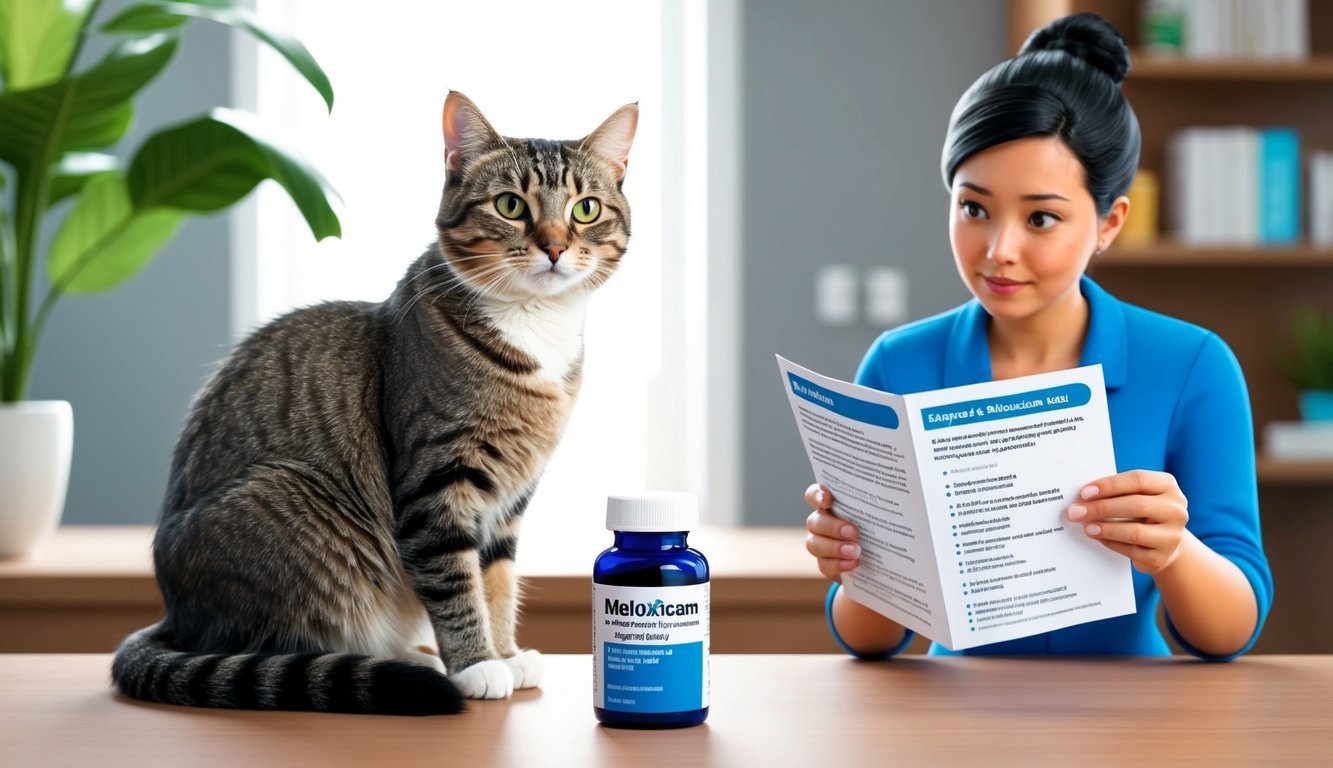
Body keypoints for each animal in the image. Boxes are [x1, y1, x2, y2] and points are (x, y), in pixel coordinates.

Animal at [109, 93, 639, 714]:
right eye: (510, 205)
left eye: (585, 209)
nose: (555, 246)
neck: (534, 327)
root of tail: (176, 617)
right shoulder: (438, 481)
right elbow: (456, 582)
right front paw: (478, 664)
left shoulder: (510, 496)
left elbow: (497, 578)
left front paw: (506, 653)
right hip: (294, 500)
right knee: (281, 647)